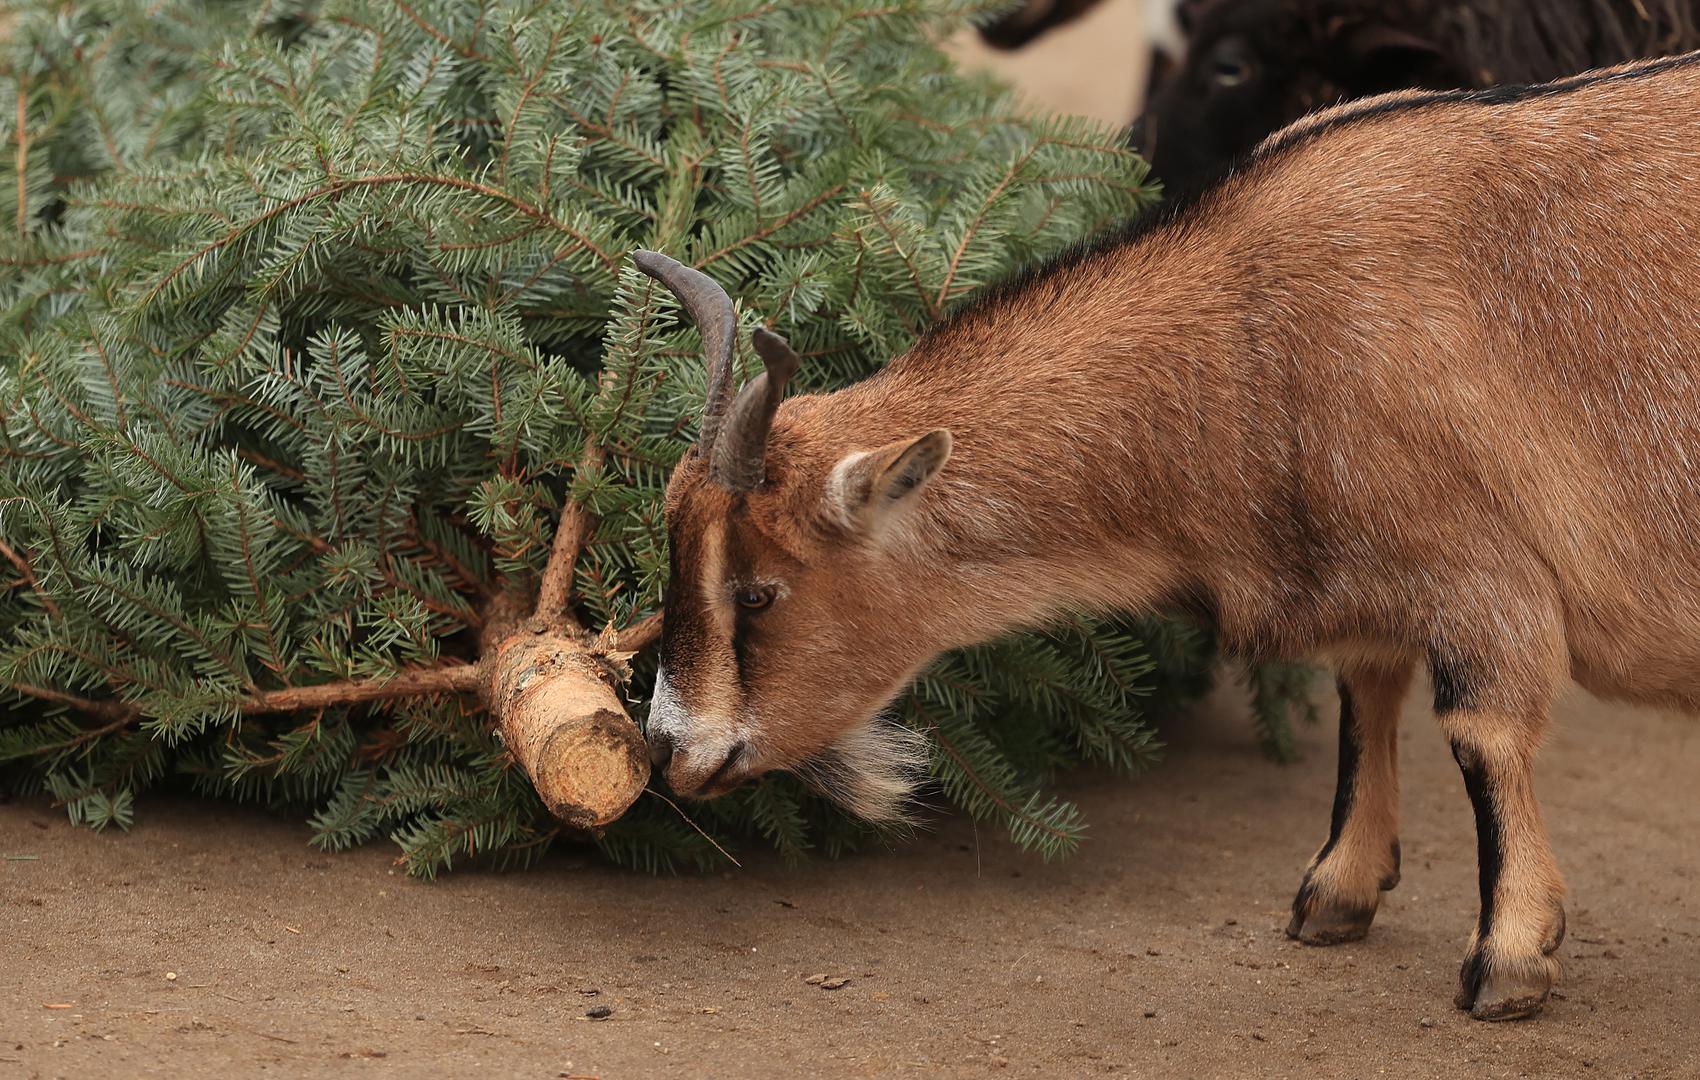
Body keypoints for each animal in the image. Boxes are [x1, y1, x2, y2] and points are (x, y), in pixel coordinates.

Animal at [632, 52, 1700, 1020]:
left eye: (758, 591)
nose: (667, 752)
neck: (1256, 340)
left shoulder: (1478, 568)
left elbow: (1482, 733)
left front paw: (1506, 963)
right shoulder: (1370, 569)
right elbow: (1365, 697)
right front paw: (1335, 895)